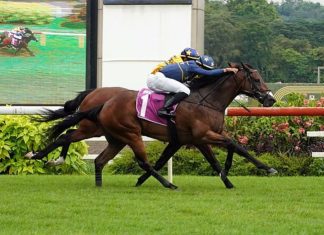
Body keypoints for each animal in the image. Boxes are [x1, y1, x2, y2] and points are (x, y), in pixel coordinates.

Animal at [27, 63, 278, 189]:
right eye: (256, 78)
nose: (271, 99)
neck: (205, 101)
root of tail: (103, 101)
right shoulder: (202, 135)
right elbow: (235, 146)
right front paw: (266, 169)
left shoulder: (191, 139)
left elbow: (223, 153)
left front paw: (228, 179)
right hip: (123, 133)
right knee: (139, 160)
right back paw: (168, 184)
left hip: (112, 136)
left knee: (88, 151)